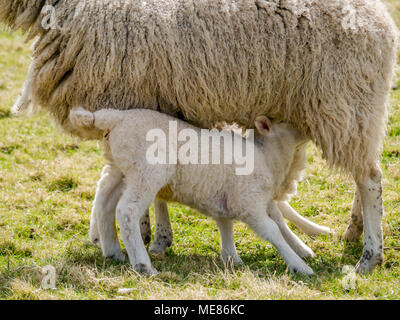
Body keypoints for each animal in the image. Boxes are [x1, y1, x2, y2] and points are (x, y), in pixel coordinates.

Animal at [70, 107, 318, 276]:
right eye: (287, 121)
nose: (310, 126)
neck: (267, 156)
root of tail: (115, 117)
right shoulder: (247, 201)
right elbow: (273, 231)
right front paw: (300, 266)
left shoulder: (224, 197)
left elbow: (225, 224)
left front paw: (231, 258)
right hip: (147, 171)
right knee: (127, 210)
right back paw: (143, 265)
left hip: (121, 167)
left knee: (104, 200)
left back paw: (112, 251)